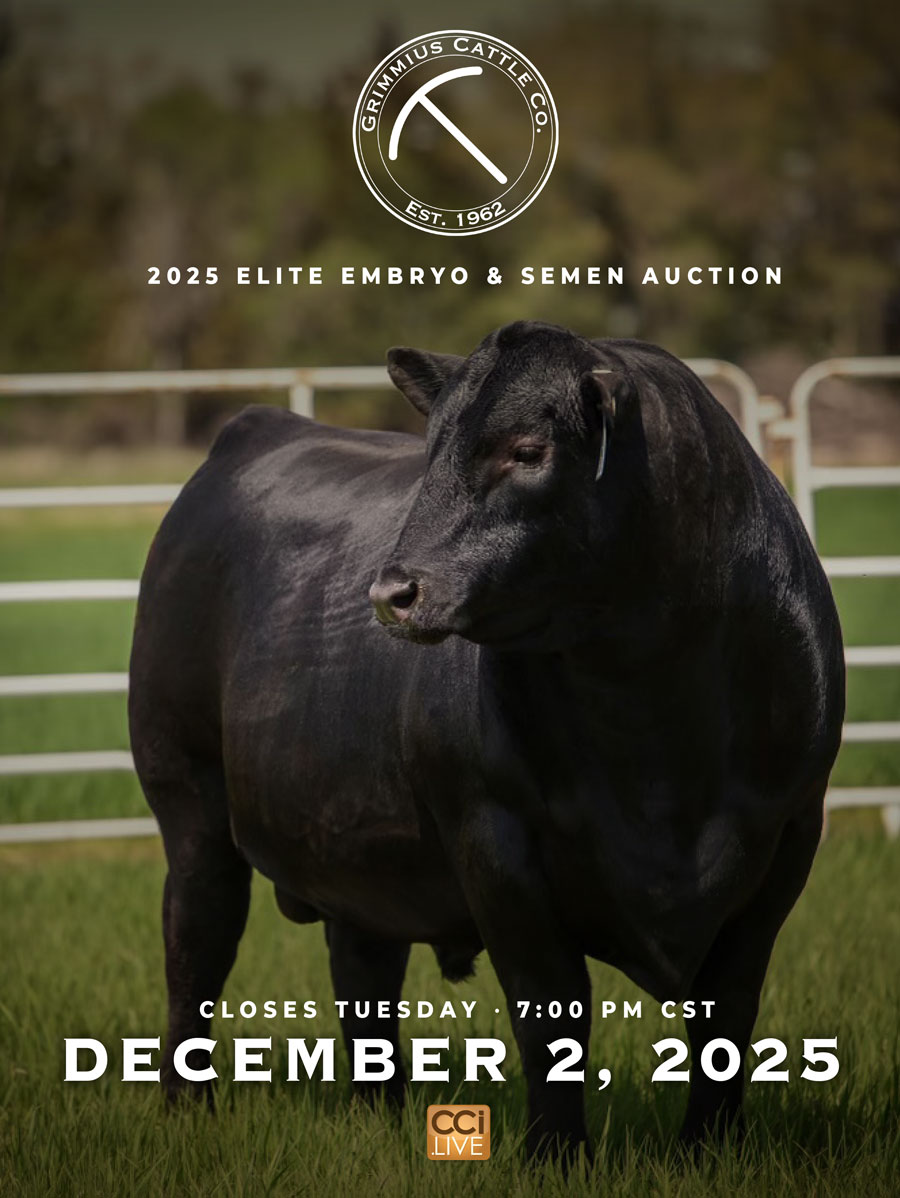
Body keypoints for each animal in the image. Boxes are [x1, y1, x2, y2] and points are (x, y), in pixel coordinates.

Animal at [128, 320, 844, 1161]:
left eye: (528, 450)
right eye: (430, 448)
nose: (392, 593)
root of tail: (261, 426)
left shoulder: (788, 836)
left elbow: (727, 1012)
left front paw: (709, 1149)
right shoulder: (494, 839)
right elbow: (550, 1007)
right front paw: (555, 1155)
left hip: (356, 838)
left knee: (364, 970)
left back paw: (379, 1115)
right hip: (188, 798)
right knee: (196, 946)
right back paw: (185, 1109)